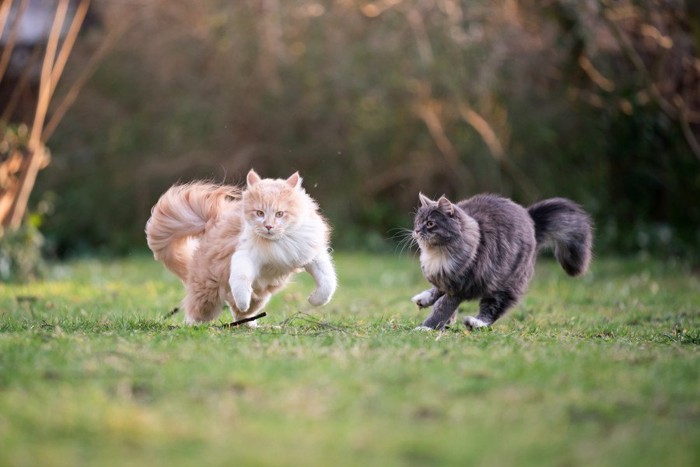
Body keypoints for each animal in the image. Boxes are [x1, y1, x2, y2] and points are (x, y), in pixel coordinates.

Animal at [145, 169, 336, 326]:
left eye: (280, 214)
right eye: (259, 213)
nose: (268, 226)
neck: (278, 241)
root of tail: (213, 221)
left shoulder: (313, 255)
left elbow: (328, 282)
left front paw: (314, 300)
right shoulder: (244, 255)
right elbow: (241, 281)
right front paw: (243, 300)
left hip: (260, 297)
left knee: (240, 312)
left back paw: (251, 325)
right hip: (208, 293)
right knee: (197, 311)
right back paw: (194, 326)